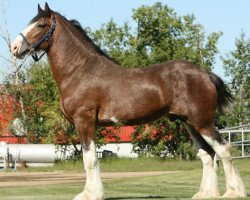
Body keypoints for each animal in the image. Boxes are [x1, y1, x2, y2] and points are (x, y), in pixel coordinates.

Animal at [11, 3, 246, 200]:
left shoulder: (84, 121)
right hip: (190, 123)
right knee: (207, 154)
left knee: (224, 149)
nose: (14, 48)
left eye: (40, 24)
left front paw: (90, 194)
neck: (79, 70)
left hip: (203, 122)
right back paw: (205, 194)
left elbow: (89, 159)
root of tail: (206, 74)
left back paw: (233, 192)